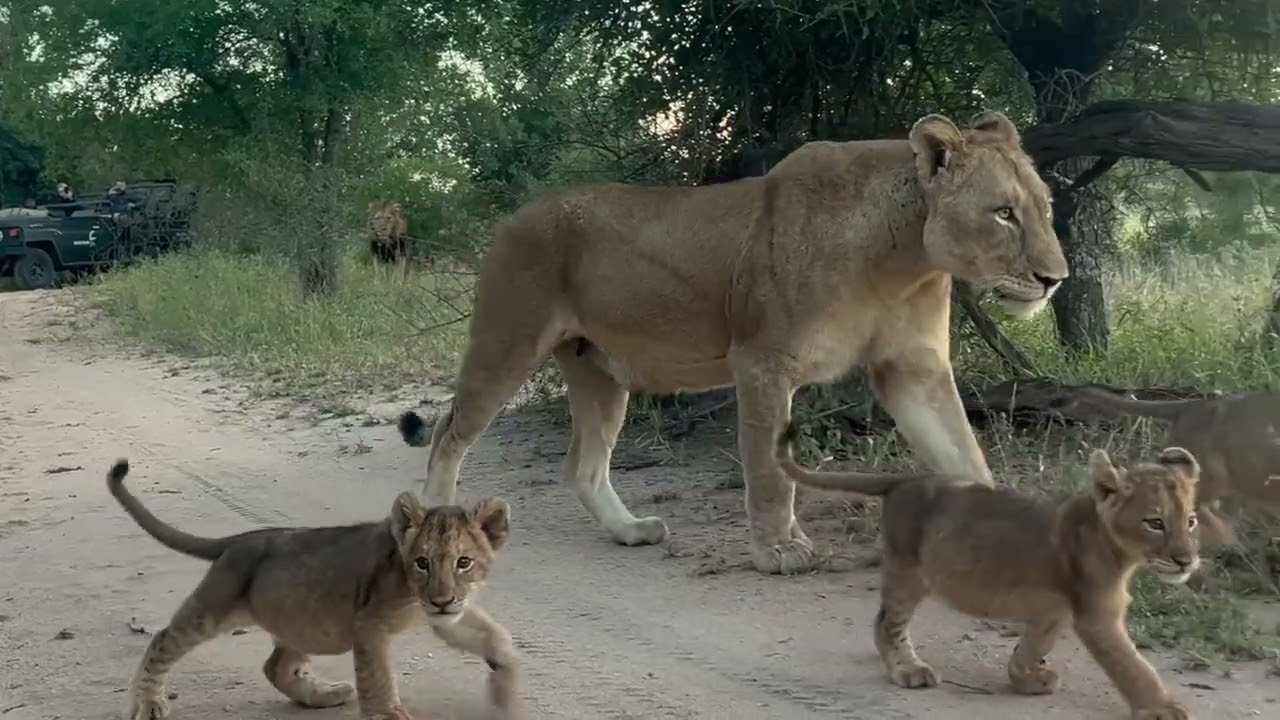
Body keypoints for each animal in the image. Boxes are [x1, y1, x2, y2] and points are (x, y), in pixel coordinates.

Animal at [107, 459, 524, 720]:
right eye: (422, 562)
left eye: (463, 562)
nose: (441, 600)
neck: (414, 590)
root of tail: (241, 540)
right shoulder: (370, 623)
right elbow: (378, 677)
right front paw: (387, 714)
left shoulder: (447, 613)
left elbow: (492, 636)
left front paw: (505, 686)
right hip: (216, 606)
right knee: (163, 639)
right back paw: (149, 705)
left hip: (308, 622)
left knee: (275, 666)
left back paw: (323, 695)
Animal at [397, 110, 1069, 576]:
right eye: (1003, 213)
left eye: (1045, 207)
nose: (1055, 278)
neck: (905, 260)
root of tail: (515, 215)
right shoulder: (763, 360)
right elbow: (770, 472)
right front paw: (781, 550)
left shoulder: (912, 368)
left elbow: (966, 456)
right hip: (505, 341)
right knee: (449, 433)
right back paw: (439, 532)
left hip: (599, 372)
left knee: (582, 466)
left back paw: (631, 530)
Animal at [774, 427, 1232, 720]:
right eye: (1155, 523)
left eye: (1190, 522)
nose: (1186, 560)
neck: (1118, 549)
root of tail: (904, 479)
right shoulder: (1097, 616)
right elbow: (1133, 667)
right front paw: (1164, 707)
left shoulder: (1056, 609)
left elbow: (1032, 644)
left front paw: (1025, 678)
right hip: (910, 571)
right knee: (888, 622)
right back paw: (908, 669)